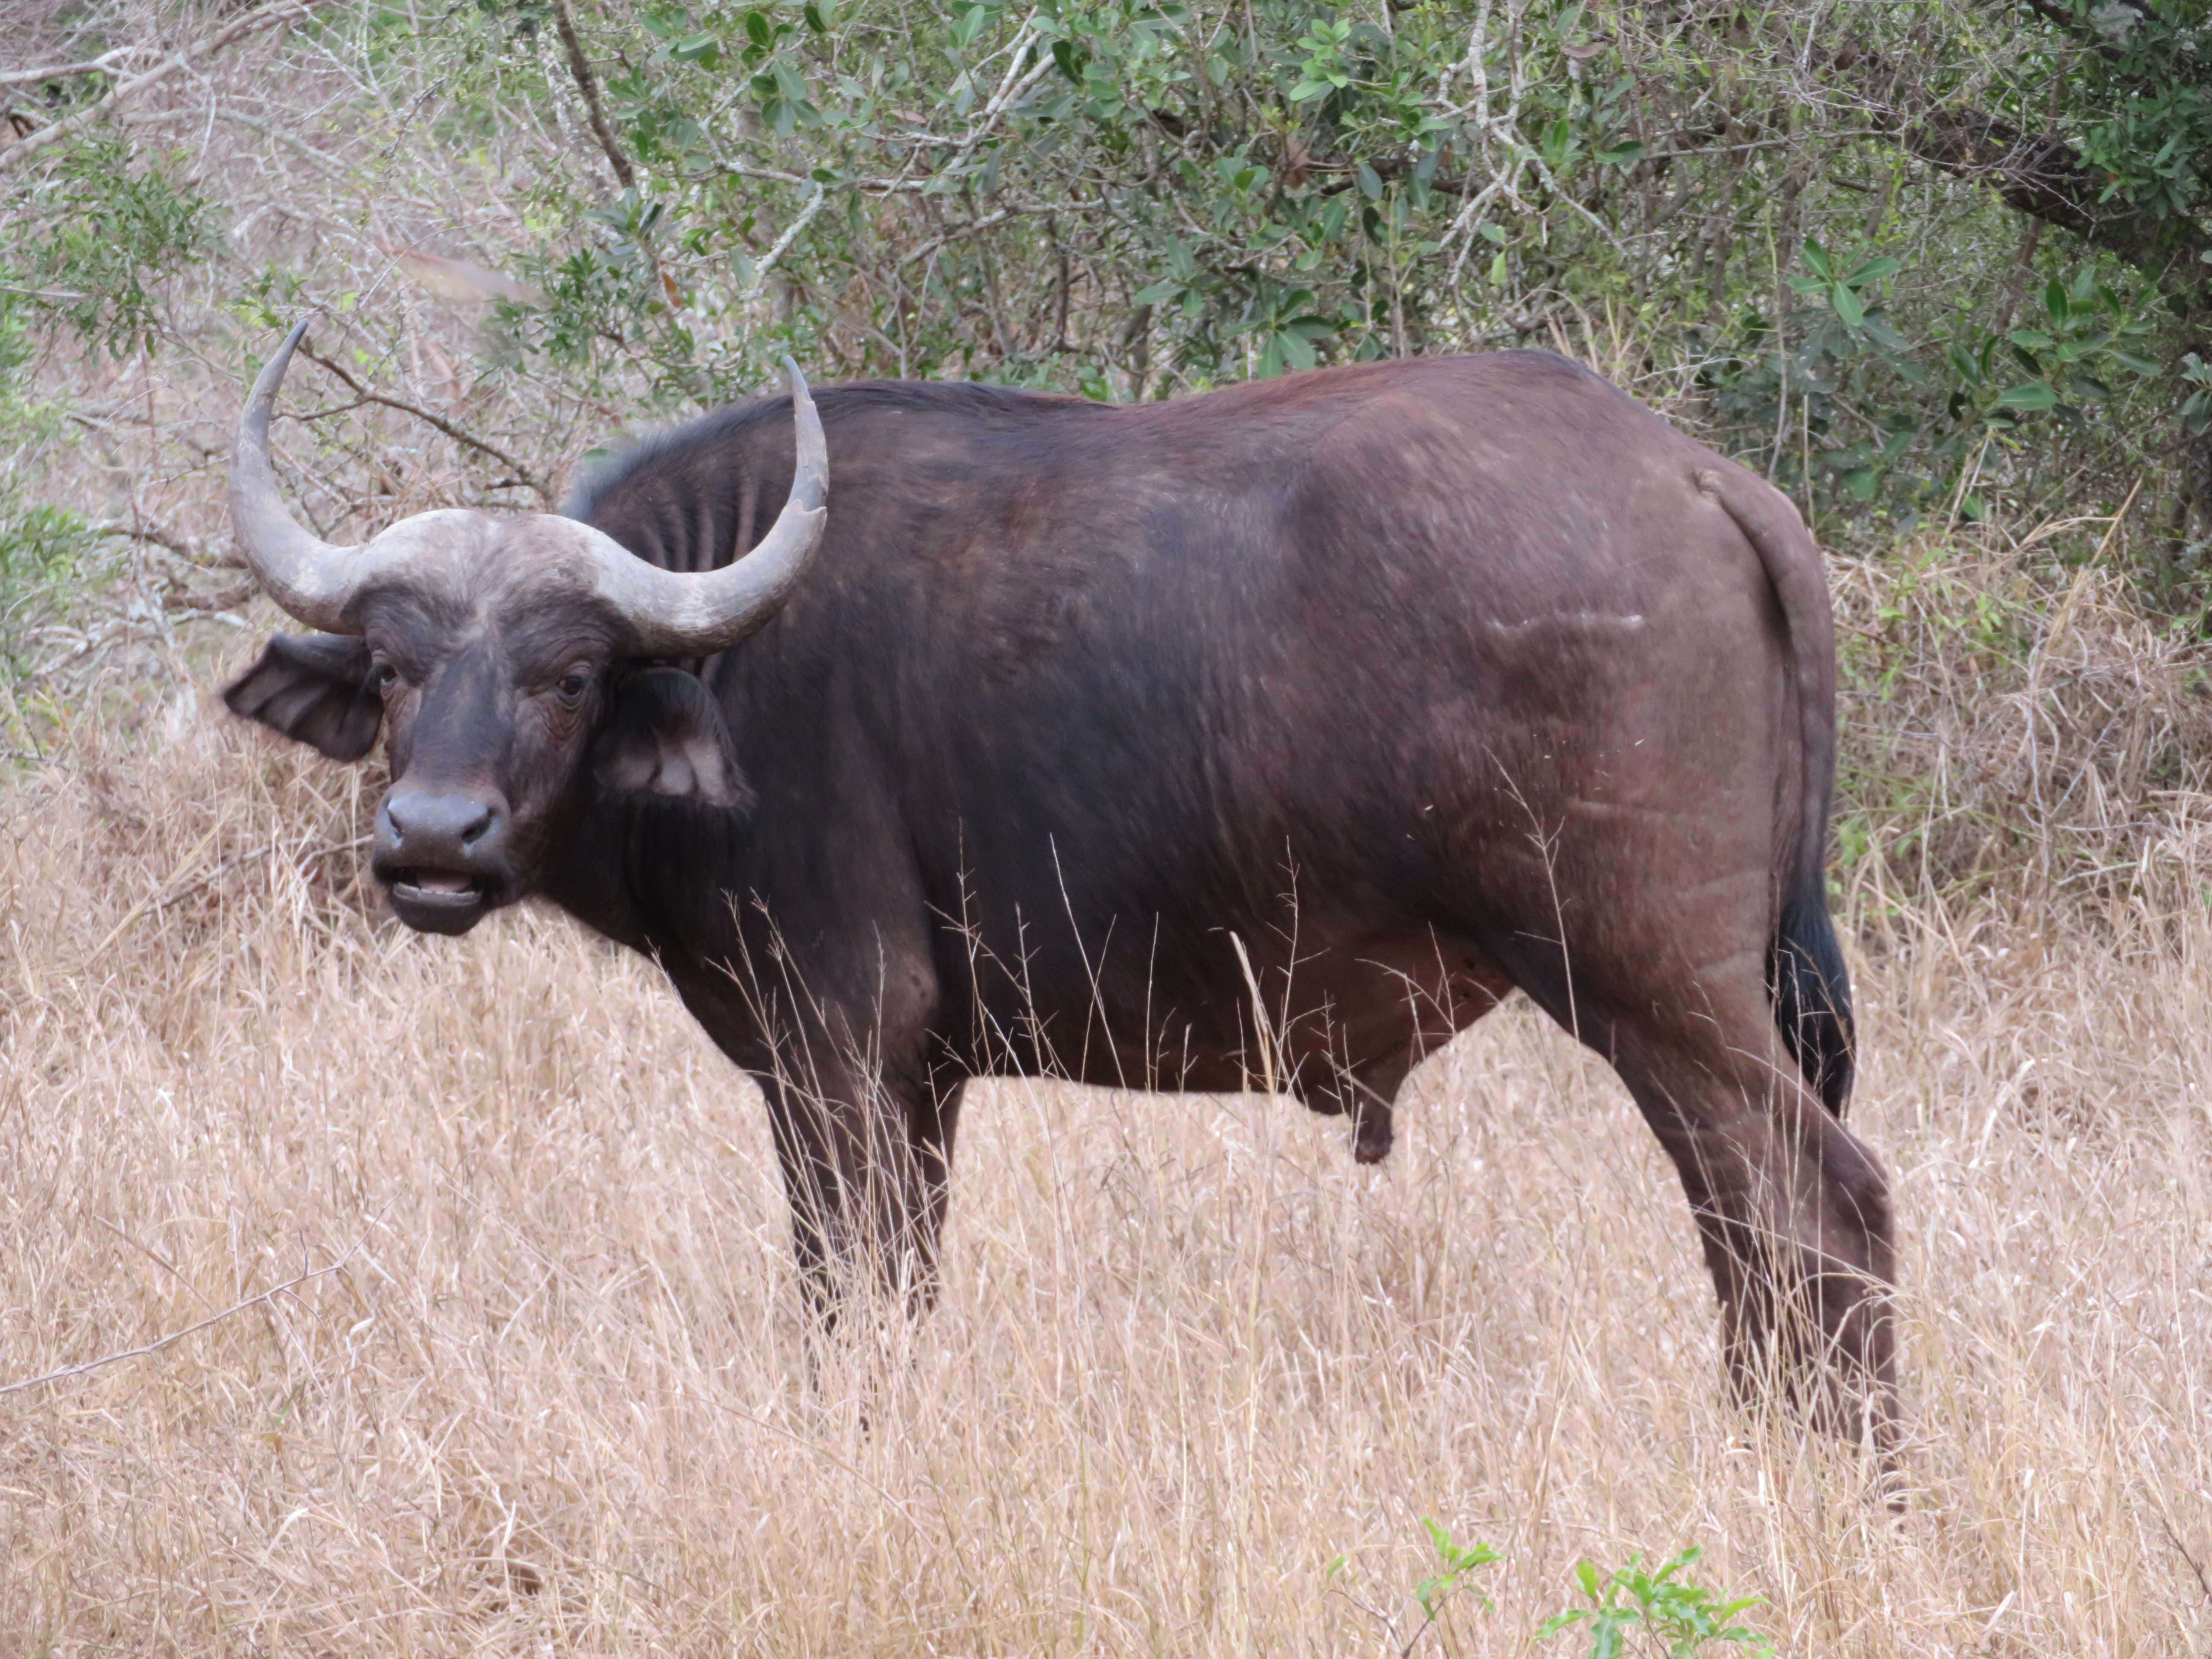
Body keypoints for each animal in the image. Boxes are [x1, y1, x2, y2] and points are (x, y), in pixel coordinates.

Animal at [223, 322, 1893, 1438]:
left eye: (571, 672)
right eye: (394, 665)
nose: (435, 839)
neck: (732, 659)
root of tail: (1696, 477)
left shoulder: (836, 1051)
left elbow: (841, 1288)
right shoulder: (923, 1081)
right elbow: (903, 1286)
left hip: (1645, 980)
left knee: (1818, 1207)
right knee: (1744, 1225)